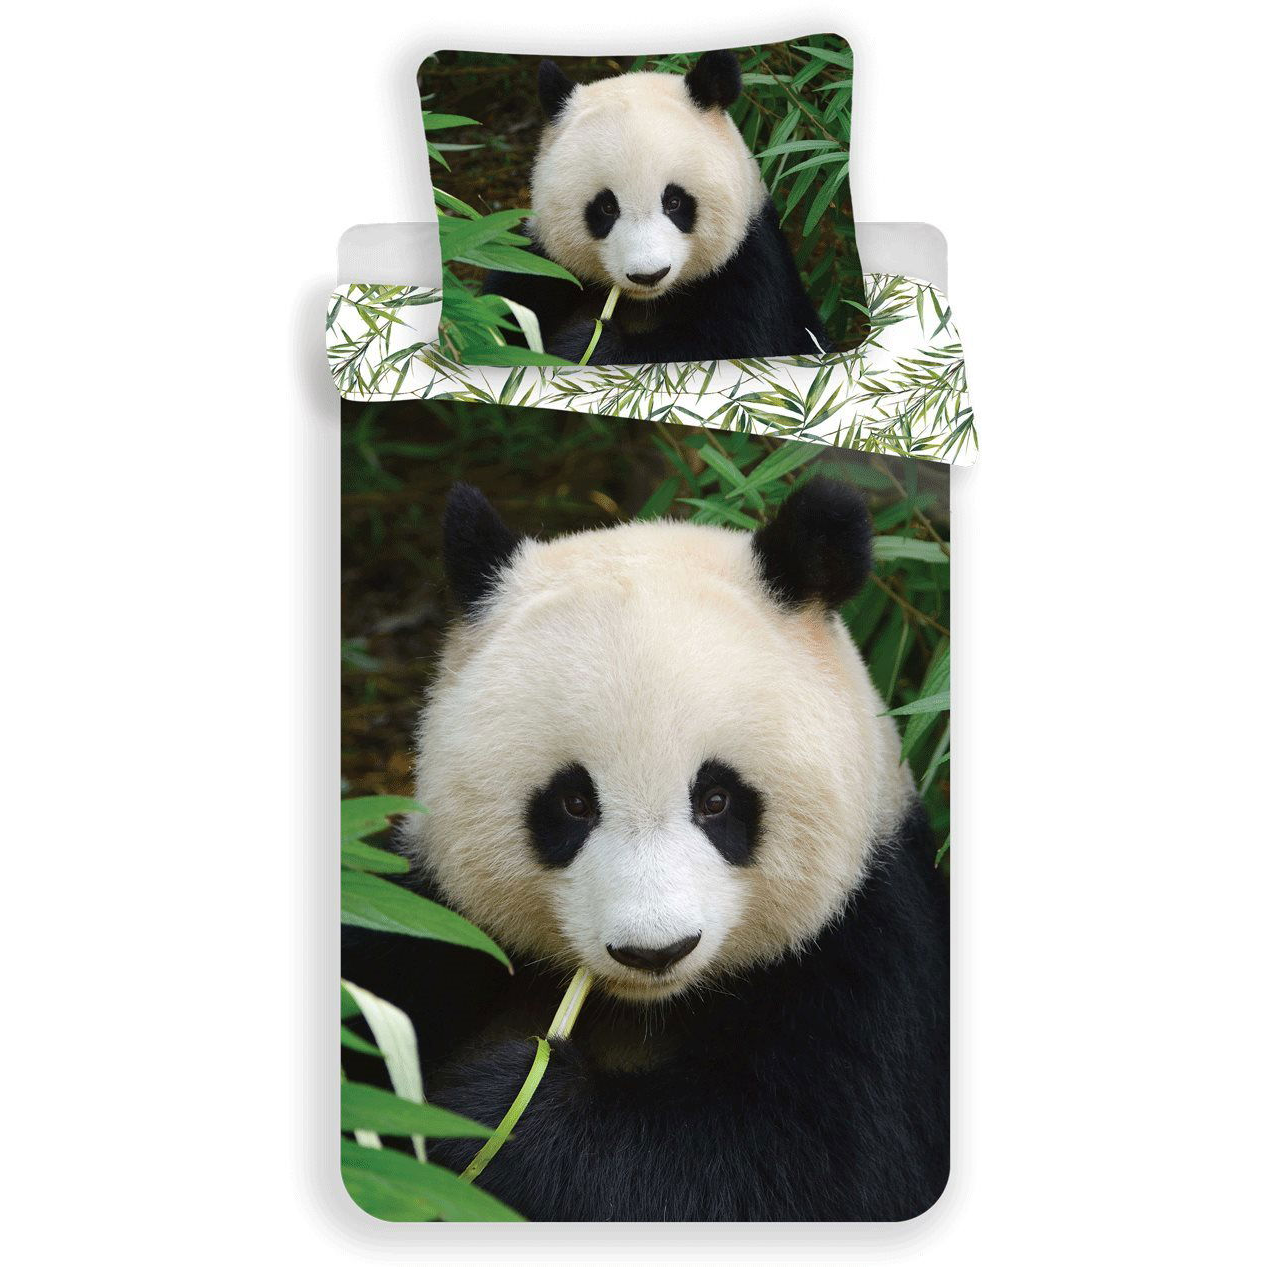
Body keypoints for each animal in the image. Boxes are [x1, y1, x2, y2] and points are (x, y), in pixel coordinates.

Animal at [342, 475, 949, 1222]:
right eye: (574, 802)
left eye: (716, 799)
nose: (654, 951)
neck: (643, 1006)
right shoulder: (430, 915)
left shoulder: (871, 954)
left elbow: (800, 1167)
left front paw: (497, 1109)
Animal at [482, 51, 834, 365]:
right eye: (606, 207)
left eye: (674, 202)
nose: (649, 274)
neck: (647, 302)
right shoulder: (540, 265)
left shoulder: (752, 270)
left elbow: (727, 346)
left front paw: (588, 345)